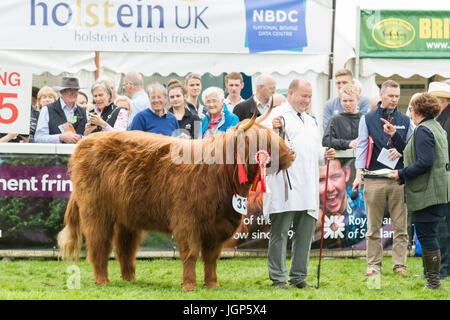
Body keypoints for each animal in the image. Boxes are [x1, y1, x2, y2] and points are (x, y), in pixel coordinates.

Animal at [58, 114, 294, 292]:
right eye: (264, 141)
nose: (292, 154)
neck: (218, 174)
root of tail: (86, 142)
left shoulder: (217, 226)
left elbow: (211, 258)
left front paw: (212, 284)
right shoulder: (187, 221)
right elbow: (190, 253)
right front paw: (189, 285)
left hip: (127, 216)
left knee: (125, 247)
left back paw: (130, 279)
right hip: (95, 211)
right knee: (99, 244)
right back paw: (102, 280)